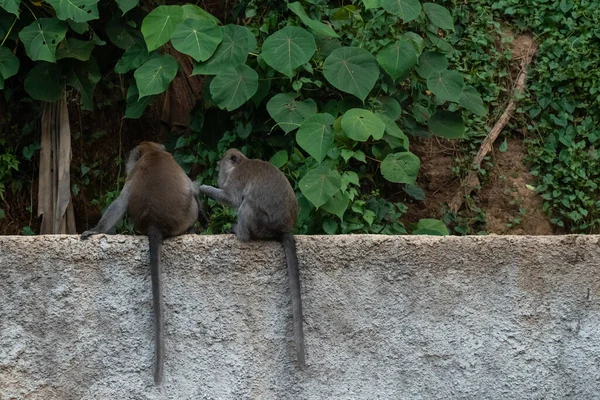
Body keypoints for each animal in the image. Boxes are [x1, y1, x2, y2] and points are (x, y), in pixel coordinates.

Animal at [79, 141, 199, 384]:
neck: (152, 152)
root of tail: (154, 223)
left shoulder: (132, 175)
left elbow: (120, 203)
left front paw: (95, 230)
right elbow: (192, 187)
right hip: (186, 216)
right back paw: (192, 229)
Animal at [196, 149, 308, 368]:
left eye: (222, 163)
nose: (217, 169)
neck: (242, 163)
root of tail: (285, 229)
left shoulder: (236, 178)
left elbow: (231, 199)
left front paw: (203, 187)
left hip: (261, 224)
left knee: (247, 203)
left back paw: (240, 233)